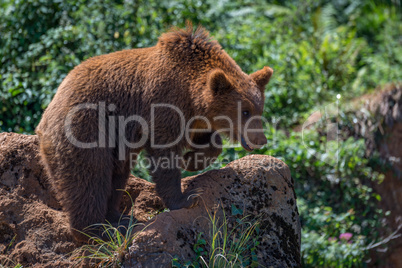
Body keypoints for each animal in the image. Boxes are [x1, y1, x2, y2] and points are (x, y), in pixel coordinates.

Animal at [36, 23, 274, 241]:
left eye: (259, 109)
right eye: (244, 111)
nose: (261, 139)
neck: (191, 95)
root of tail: (46, 114)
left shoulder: (193, 117)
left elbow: (206, 140)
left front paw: (192, 160)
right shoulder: (163, 104)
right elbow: (164, 154)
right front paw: (186, 198)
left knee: (117, 174)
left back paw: (119, 218)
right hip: (85, 129)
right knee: (88, 177)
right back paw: (97, 230)